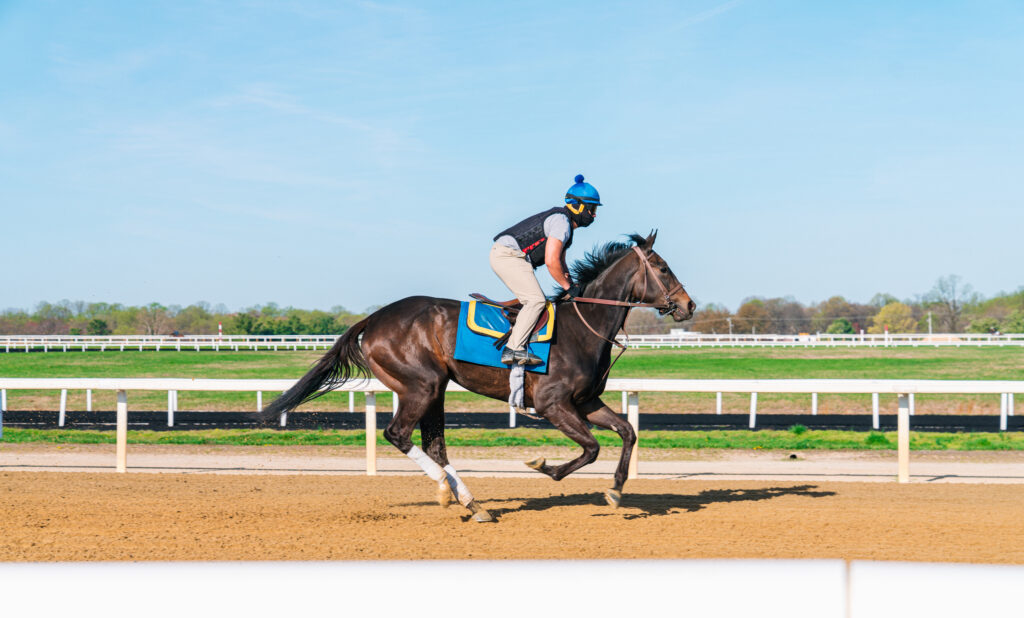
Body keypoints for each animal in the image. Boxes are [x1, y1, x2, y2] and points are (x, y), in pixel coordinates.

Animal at [255, 231, 694, 522]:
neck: (583, 327)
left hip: (434, 389)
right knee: (398, 435)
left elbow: (627, 432)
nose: (689, 305)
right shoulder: (553, 404)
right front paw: (545, 467)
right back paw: (452, 493)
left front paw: (616, 490)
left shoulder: (585, 402)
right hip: (422, 385)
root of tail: (374, 318)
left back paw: (470, 502)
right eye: (662, 267)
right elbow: (591, 448)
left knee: (434, 445)